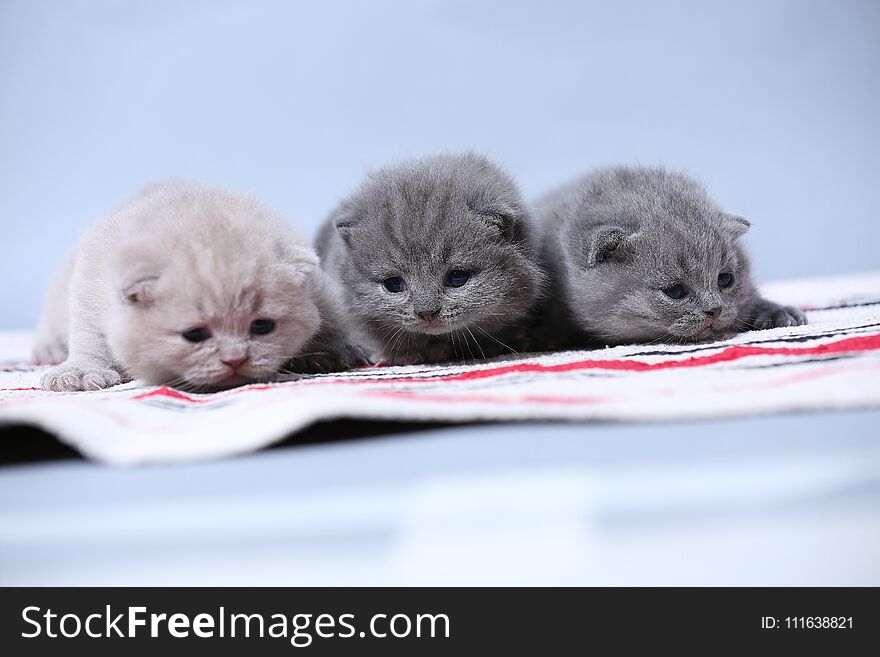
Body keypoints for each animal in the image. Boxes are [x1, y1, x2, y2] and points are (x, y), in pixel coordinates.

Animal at [35, 179, 364, 390]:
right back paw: (48, 350)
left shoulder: (317, 284)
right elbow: (91, 336)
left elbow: (332, 316)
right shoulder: (92, 280)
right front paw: (79, 372)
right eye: (194, 334)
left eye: (261, 326)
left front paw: (331, 351)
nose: (236, 358)